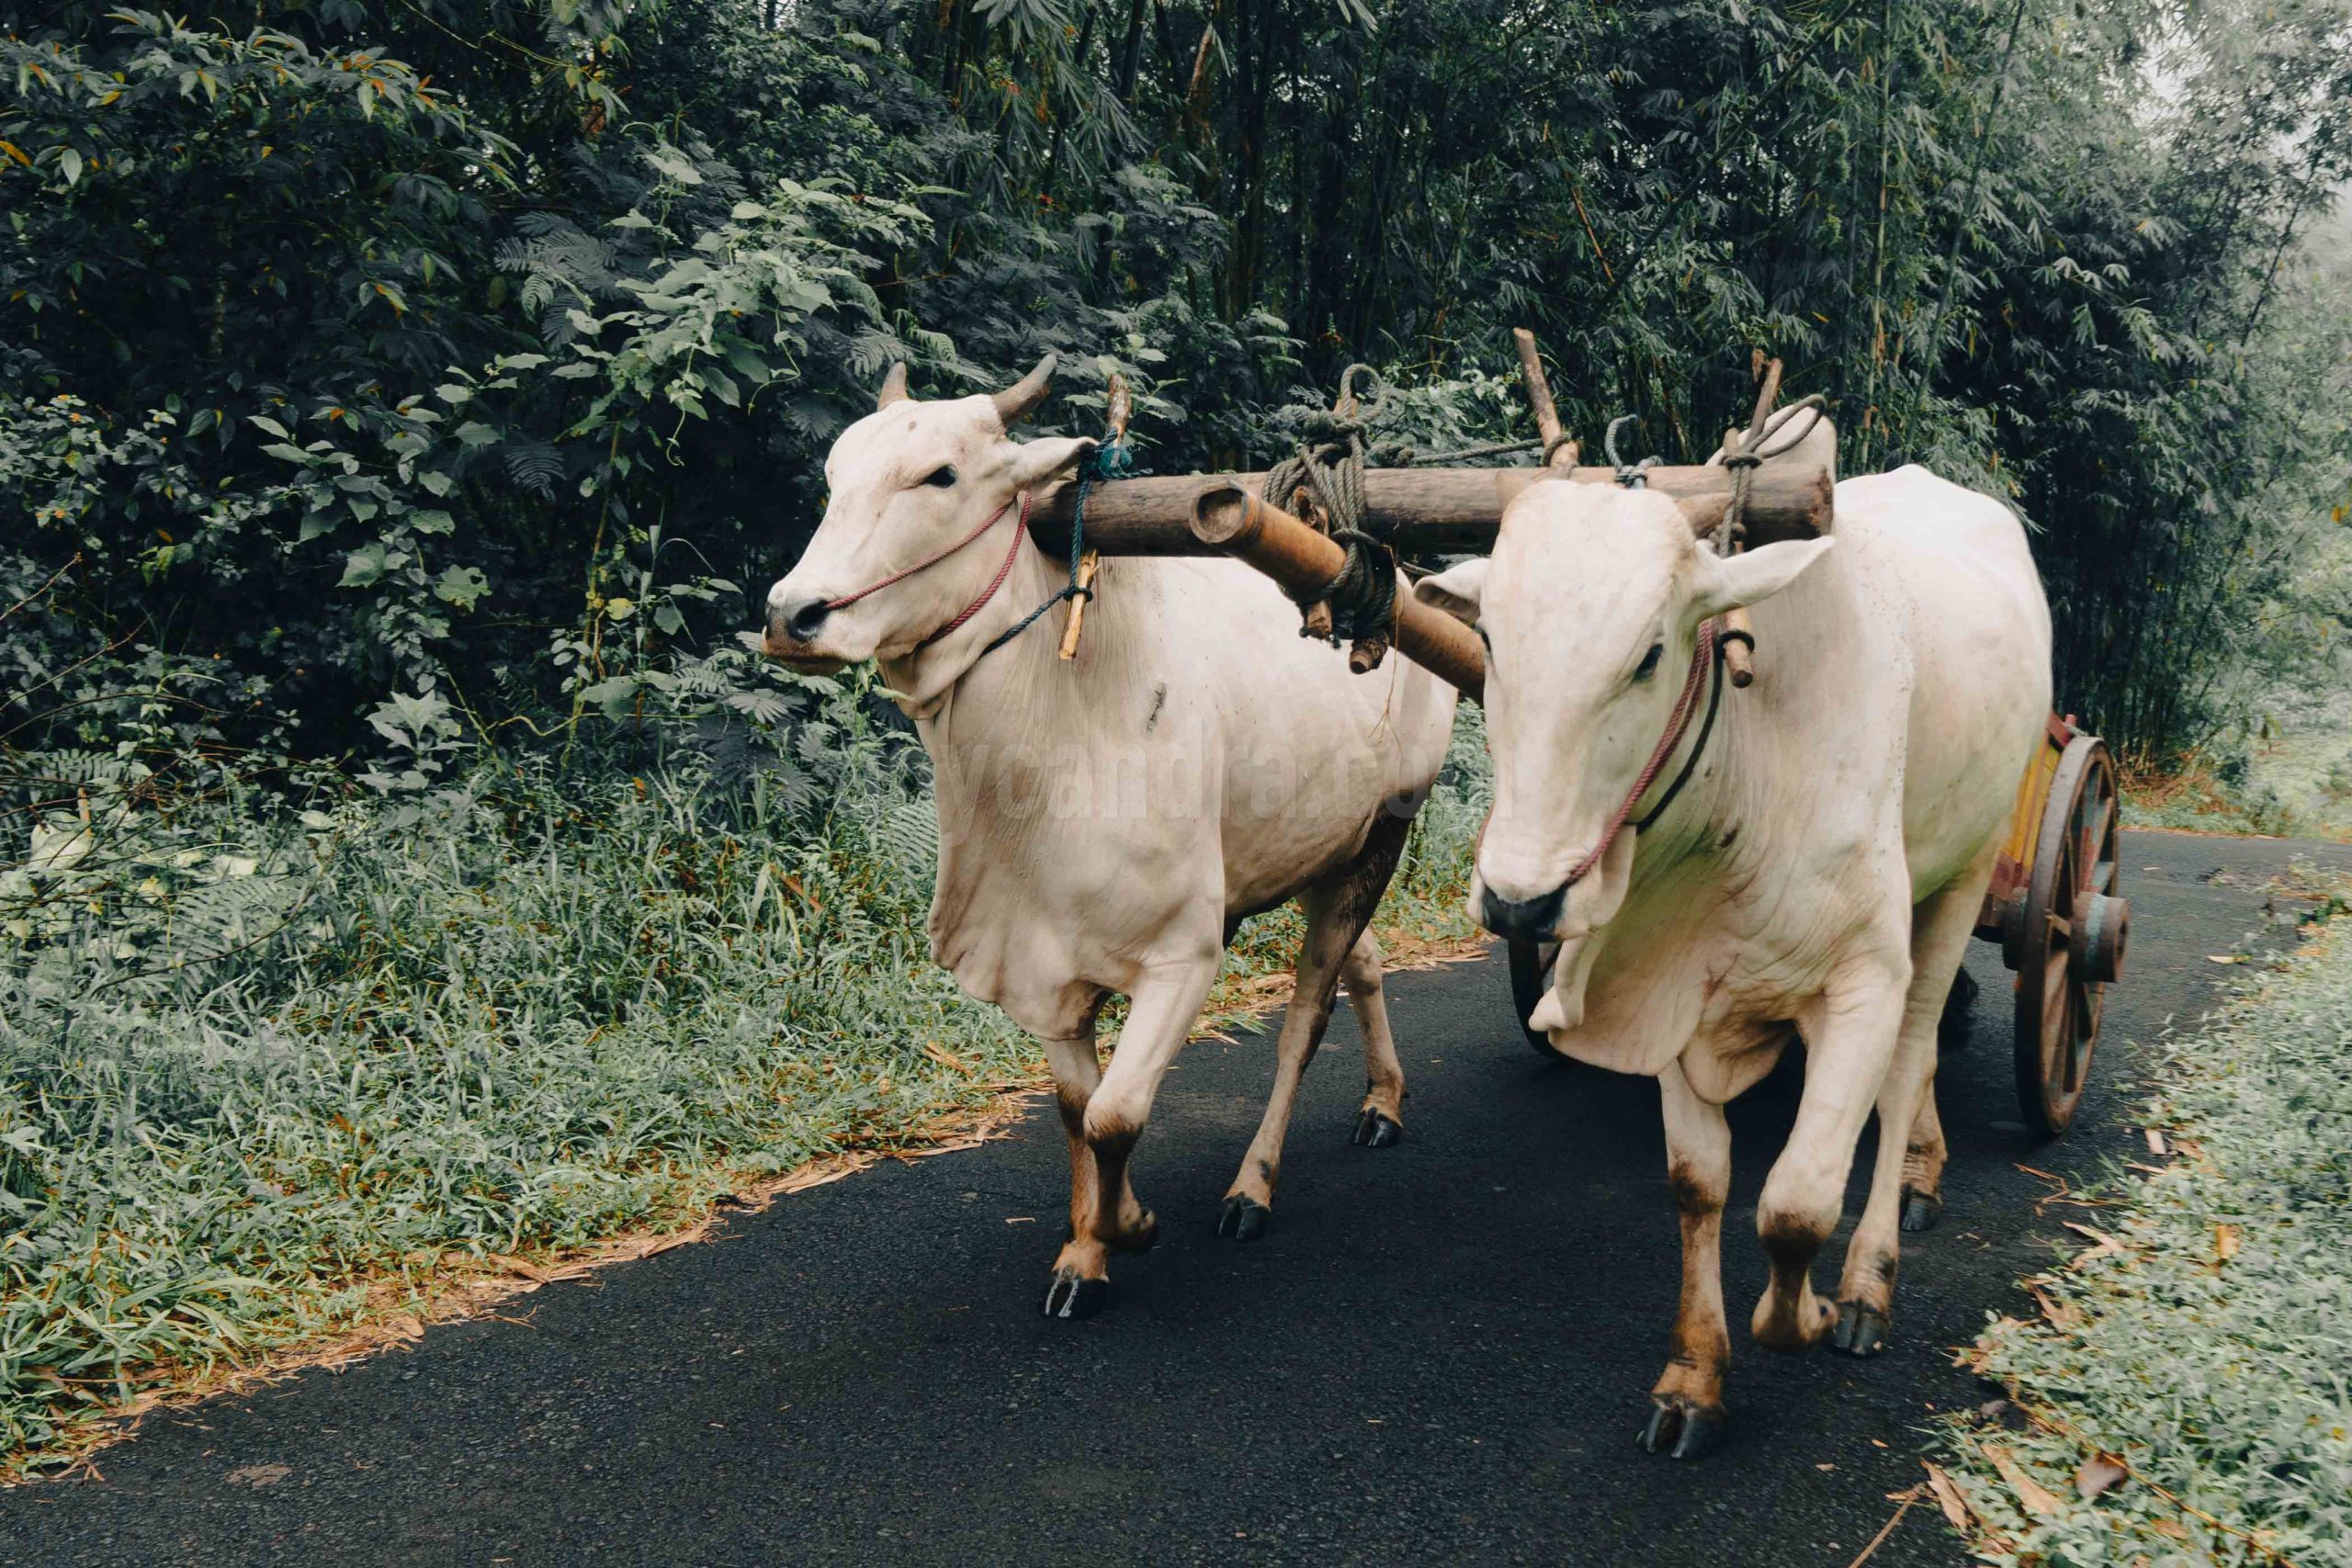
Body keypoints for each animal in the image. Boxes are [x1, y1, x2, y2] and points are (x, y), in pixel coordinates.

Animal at [762, 358, 1458, 1317]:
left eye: (940, 476)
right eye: (835, 477)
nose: (791, 616)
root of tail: (1410, 585)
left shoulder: (1182, 956)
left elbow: (1117, 1115)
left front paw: (1128, 1227)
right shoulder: (1039, 966)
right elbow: (1075, 1110)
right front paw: (1087, 1247)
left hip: (1385, 834)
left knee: (1304, 1018)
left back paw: (1253, 1185)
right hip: (1324, 848)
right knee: (1367, 963)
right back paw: (1383, 1101)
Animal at [1413, 462, 2050, 1458]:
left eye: (1647, 656)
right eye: (1487, 638)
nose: (1520, 902)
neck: (1752, 769)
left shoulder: (1867, 978)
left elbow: (1796, 1203)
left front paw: (1814, 1313)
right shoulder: (1673, 987)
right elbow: (1699, 1184)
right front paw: (1694, 1379)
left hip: (1968, 873)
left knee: (1910, 1061)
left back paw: (1872, 1269)